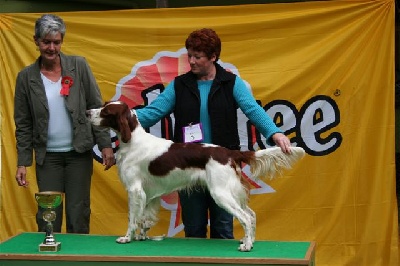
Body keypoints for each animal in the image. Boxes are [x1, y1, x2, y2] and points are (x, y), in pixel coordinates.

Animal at [85, 100, 304, 251]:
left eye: (106, 111)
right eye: (103, 106)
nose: (87, 112)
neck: (132, 141)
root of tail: (229, 153)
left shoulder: (134, 189)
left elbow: (132, 218)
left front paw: (127, 238)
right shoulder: (149, 193)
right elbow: (144, 218)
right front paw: (142, 236)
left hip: (220, 192)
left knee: (245, 217)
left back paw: (247, 246)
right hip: (232, 191)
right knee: (251, 214)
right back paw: (249, 240)